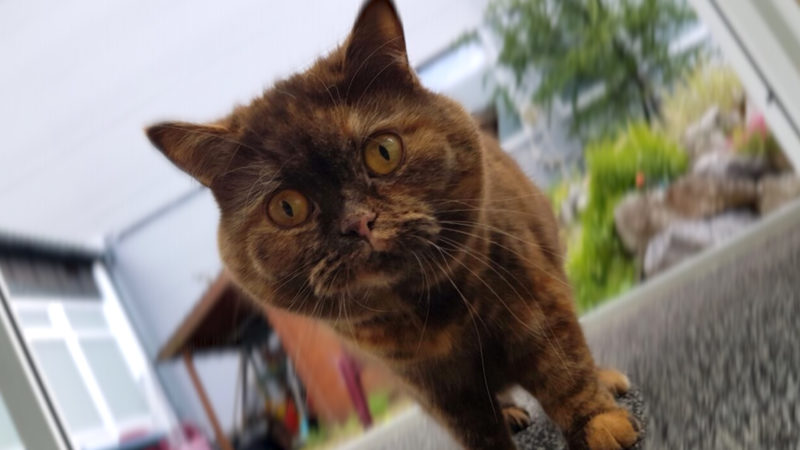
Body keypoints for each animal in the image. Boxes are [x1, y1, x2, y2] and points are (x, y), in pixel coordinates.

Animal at [145, 1, 636, 448]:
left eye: (383, 151)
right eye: (287, 208)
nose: (357, 222)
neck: (437, 314)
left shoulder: (533, 299)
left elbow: (564, 370)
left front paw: (601, 425)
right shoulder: (432, 385)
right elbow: (478, 430)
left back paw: (608, 381)